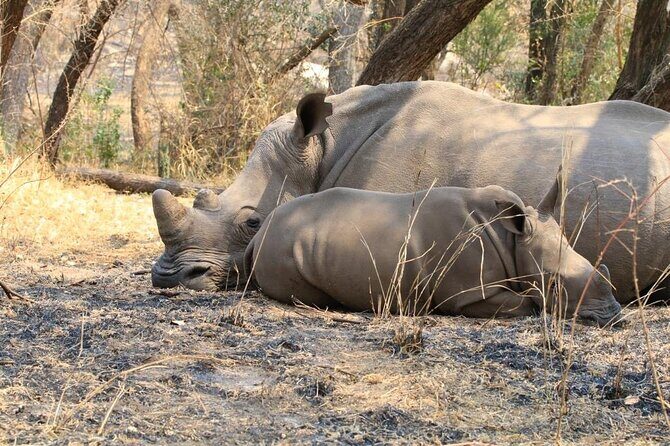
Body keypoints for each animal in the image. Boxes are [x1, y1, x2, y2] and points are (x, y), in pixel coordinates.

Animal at [244, 180, 622, 326]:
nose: (616, 316)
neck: (513, 239)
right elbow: (526, 304)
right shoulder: (470, 293)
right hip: (282, 248)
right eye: (554, 284)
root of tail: (258, 234)